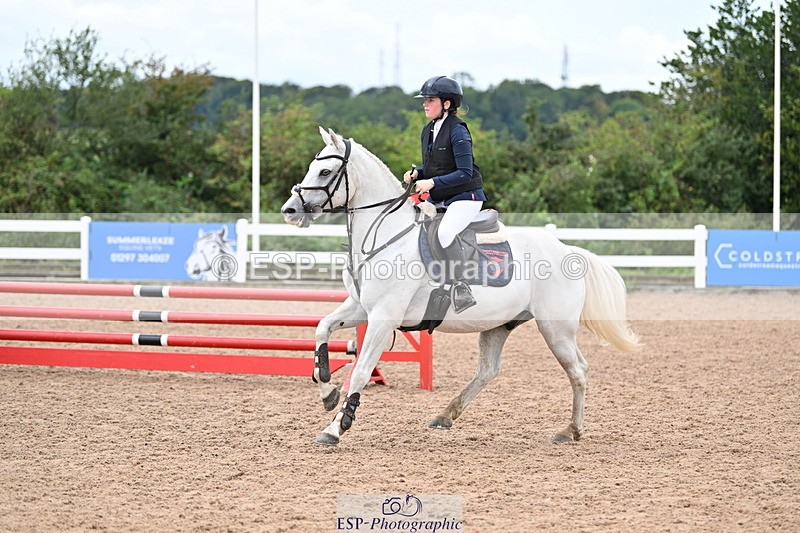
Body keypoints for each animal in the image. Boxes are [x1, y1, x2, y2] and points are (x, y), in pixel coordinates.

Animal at [281, 127, 641, 447]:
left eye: (325, 171)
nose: (290, 210)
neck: (386, 236)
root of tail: (569, 251)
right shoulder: (360, 307)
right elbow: (322, 328)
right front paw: (327, 391)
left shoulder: (384, 316)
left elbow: (361, 370)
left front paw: (336, 427)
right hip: (499, 325)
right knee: (488, 370)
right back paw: (445, 415)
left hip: (556, 329)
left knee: (578, 370)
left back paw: (571, 431)